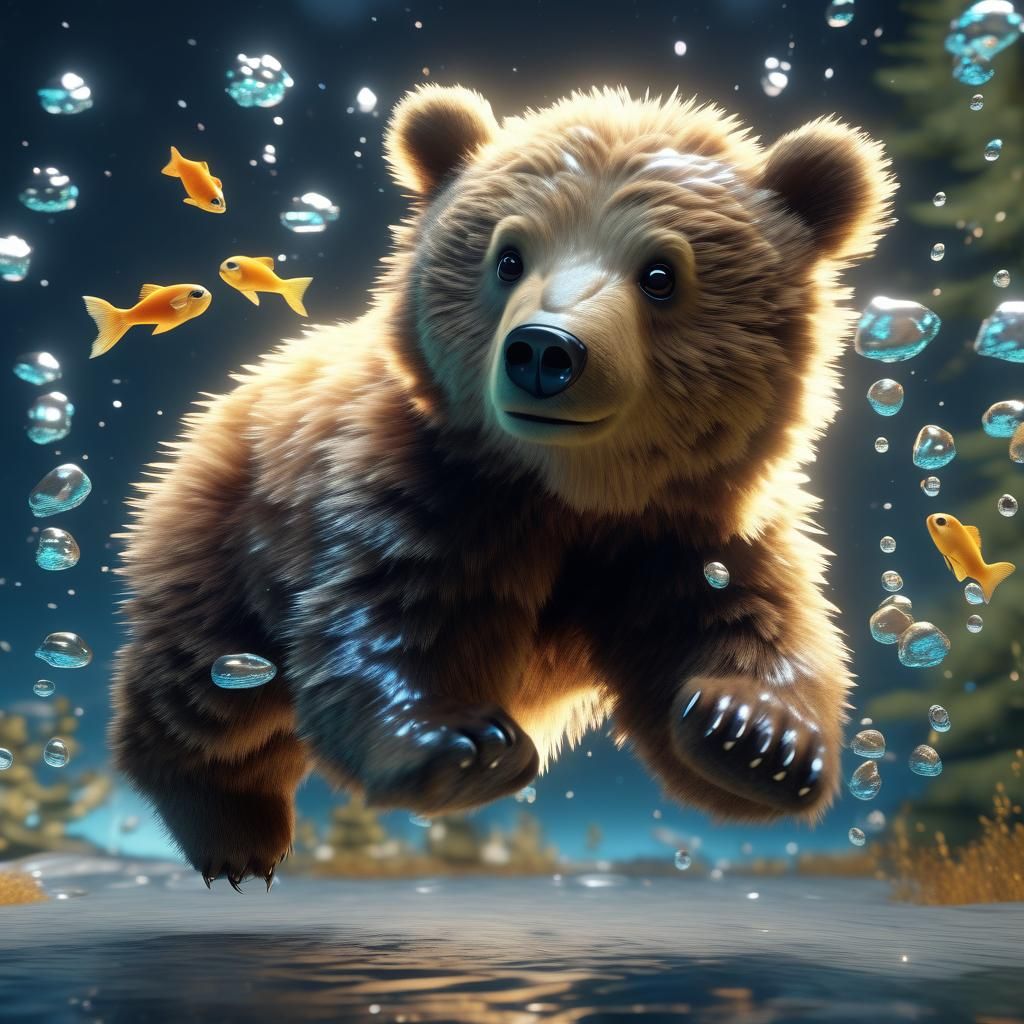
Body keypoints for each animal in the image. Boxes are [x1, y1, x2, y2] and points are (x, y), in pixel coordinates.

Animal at [110, 85, 896, 889]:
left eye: (661, 273)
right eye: (509, 256)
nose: (546, 350)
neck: (571, 491)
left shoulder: (691, 527)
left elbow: (743, 622)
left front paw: (754, 733)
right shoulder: (425, 493)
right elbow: (381, 621)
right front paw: (465, 741)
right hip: (225, 542)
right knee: (203, 693)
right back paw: (234, 832)